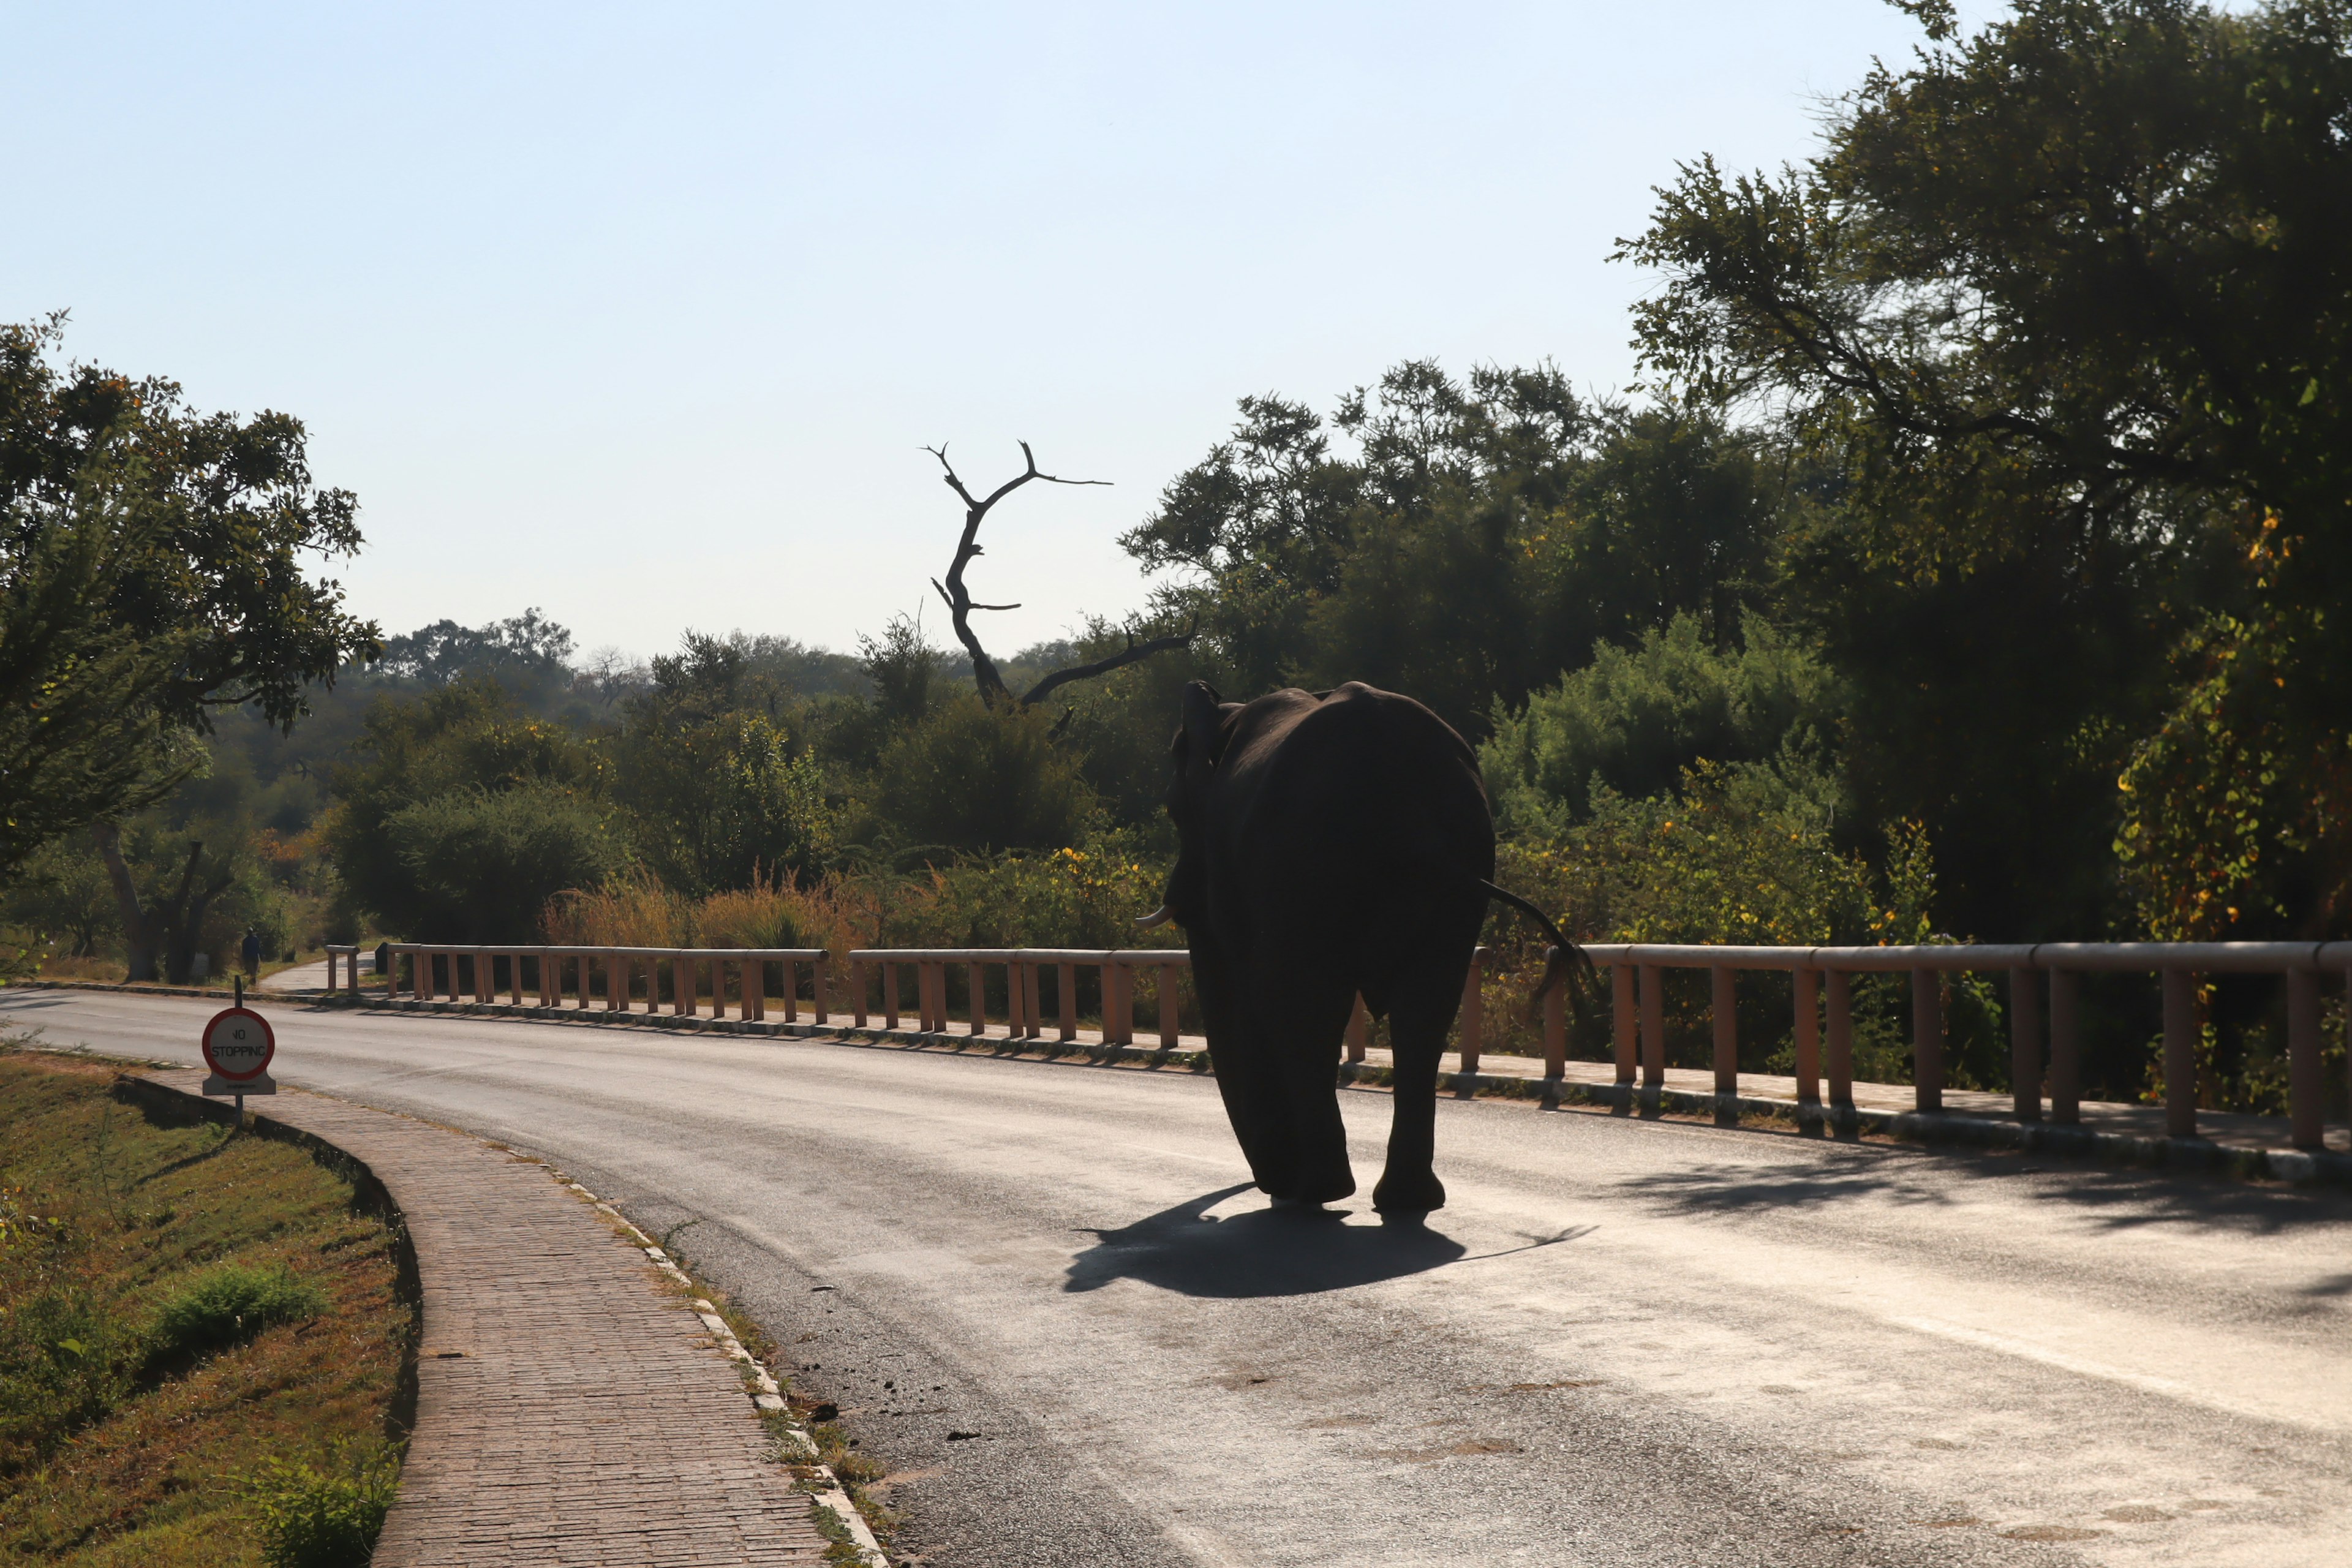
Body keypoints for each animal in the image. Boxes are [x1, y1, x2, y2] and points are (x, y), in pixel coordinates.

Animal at [1138, 677, 1580, 1213]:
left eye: (1172, 811)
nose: (1261, 1182)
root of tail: (1403, 807)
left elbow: (1253, 993)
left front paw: (1286, 1185)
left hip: (1308, 857)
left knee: (1309, 1008)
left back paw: (1319, 1193)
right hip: (1460, 861)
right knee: (1424, 1010)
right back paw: (1403, 1201)